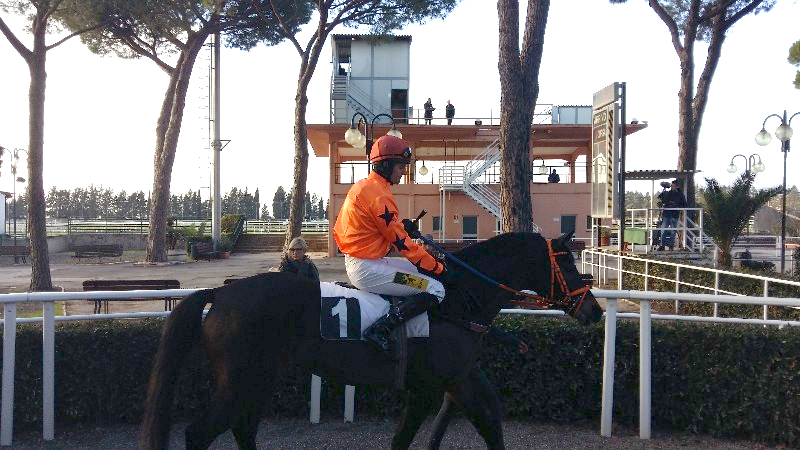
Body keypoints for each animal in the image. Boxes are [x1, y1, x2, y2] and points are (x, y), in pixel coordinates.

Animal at [139, 232, 600, 450]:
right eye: (569, 265)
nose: (594, 311)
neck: (459, 297)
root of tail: (222, 293)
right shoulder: (431, 386)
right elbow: (416, 435)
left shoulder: (460, 379)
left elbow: (490, 423)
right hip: (240, 381)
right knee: (200, 432)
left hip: (258, 380)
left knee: (242, 428)